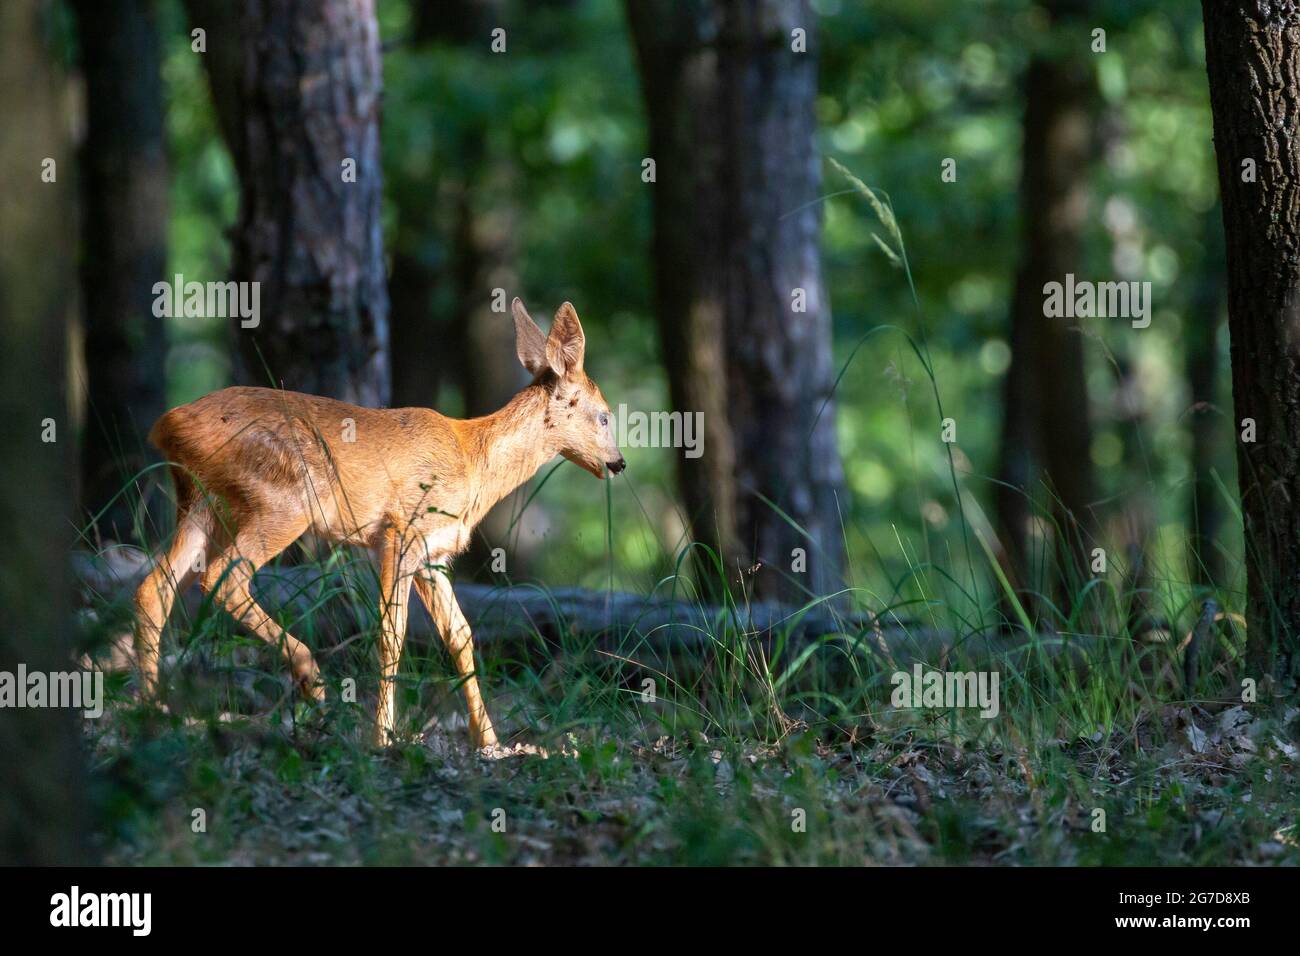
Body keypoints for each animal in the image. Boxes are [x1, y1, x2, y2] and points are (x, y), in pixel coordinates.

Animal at [134, 299, 621, 749]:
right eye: (604, 415)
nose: (618, 463)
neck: (474, 461)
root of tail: (166, 424)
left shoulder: (433, 554)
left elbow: (460, 635)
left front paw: (489, 741)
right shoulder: (401, 531)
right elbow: (392, 633)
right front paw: (382, 737)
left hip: (202, 503)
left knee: (154, 588)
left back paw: (151, 708)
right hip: (282, 501)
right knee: (224, 577)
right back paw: (311, 680)